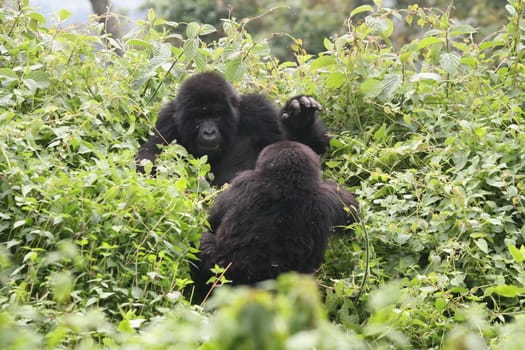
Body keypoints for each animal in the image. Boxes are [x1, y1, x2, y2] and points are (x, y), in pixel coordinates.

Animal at [134, 71, 328, 186]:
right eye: (198, 118)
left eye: (216, 115)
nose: (209, 132)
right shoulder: (167, 120)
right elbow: (148, 156)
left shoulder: (260, 111)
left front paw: (300, 120)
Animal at [190, 141, 358, 300]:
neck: (288, 182)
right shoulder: (330, 196)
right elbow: (354, 215)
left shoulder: (244, 181)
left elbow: (211, 221)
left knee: (202, 241)